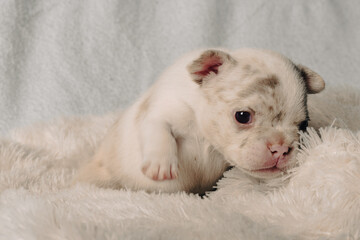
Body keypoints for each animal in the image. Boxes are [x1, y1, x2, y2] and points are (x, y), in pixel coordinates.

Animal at [76, 48, 326, 193]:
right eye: (243, 116)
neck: (205, 134)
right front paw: (160, 164)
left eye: (303, 125)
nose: (281, 148)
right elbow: (158, 129)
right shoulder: (162, 110)